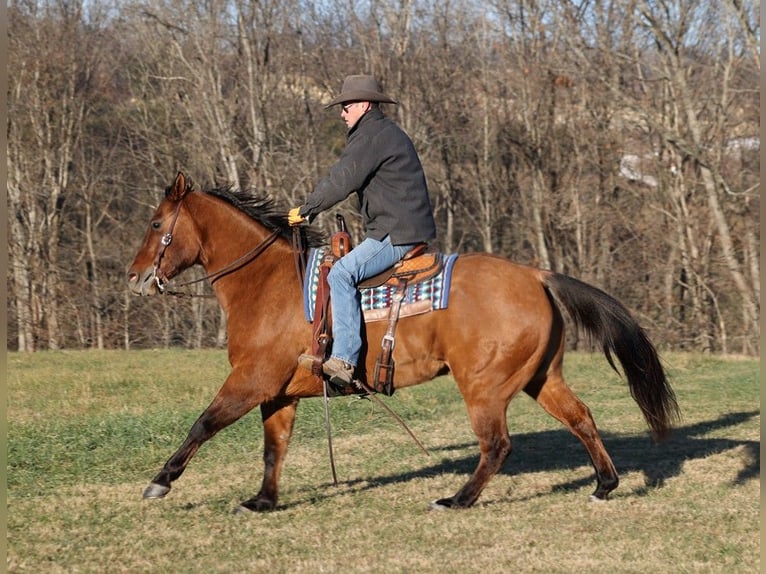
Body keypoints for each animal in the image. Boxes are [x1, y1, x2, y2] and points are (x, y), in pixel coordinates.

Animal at [127, 172, 684, 512]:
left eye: (156, 223)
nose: (134, 277)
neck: (268, 285)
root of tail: (535, 274)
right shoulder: (277, 392)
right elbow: (273, 449)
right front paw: (263, 501)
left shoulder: (249, 381)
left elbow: (204, 424)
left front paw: (160, 481)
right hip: (540, 377)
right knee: (581, 418)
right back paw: (604, 485)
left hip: (484, 387)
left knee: (497, 444)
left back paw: (458, 499)